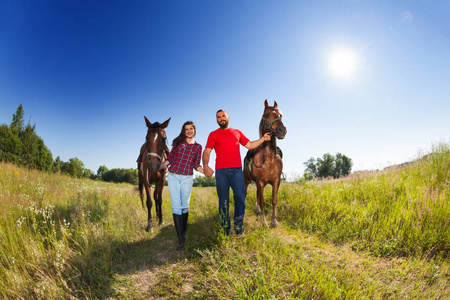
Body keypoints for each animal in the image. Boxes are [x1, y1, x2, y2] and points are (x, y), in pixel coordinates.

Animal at [244, 99, 286, 227]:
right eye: (266, 115)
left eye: (280, 115)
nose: (282, 130)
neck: (269, 160)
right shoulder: (260, 181)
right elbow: (263, 201)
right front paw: (264, 222)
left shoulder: (276, 181)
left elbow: (274, 200)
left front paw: (273, 221)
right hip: (246, 181)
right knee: (246, 194)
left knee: (257, 194)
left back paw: (257, 210)